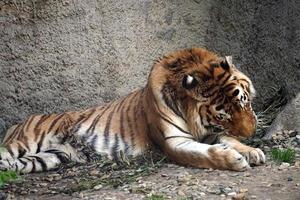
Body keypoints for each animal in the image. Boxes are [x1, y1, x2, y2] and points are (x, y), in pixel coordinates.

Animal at [0, 47, 264, 173]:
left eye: (244, 102)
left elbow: (229, 139)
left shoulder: (210, 132)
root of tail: (15, 125)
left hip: (50, 157)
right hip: (23, 144)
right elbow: (204, 154)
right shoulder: (174, 143)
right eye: (222, 115)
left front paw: (252, 151)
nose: (252, 132)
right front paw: (234, 159)